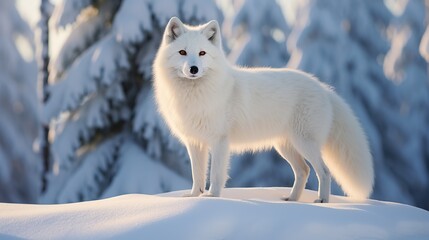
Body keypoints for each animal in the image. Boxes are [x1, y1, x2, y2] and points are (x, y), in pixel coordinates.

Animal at [152, 17, 372, 202]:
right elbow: (197, 175)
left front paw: (212, 197)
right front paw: (192, 196)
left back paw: (322, 201)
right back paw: (292, 199)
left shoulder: (219, 141)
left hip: (305, 143)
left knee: (324, 172)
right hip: (285, 147)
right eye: (182, 52)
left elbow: (215, 174)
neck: (195, 95)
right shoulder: (195, 142)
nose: (194, 69)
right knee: (304, 171)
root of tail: (324, 88)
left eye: (202, 53)